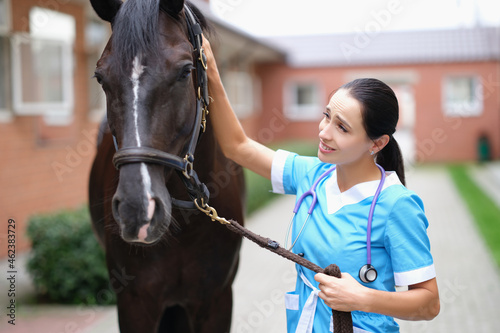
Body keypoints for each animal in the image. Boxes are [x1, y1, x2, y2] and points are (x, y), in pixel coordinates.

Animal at [89, 1, 247, 330]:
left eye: (186, 71)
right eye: (100, 78)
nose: (138, 209)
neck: (185, 227)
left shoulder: (217, 300)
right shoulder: (135, 303)